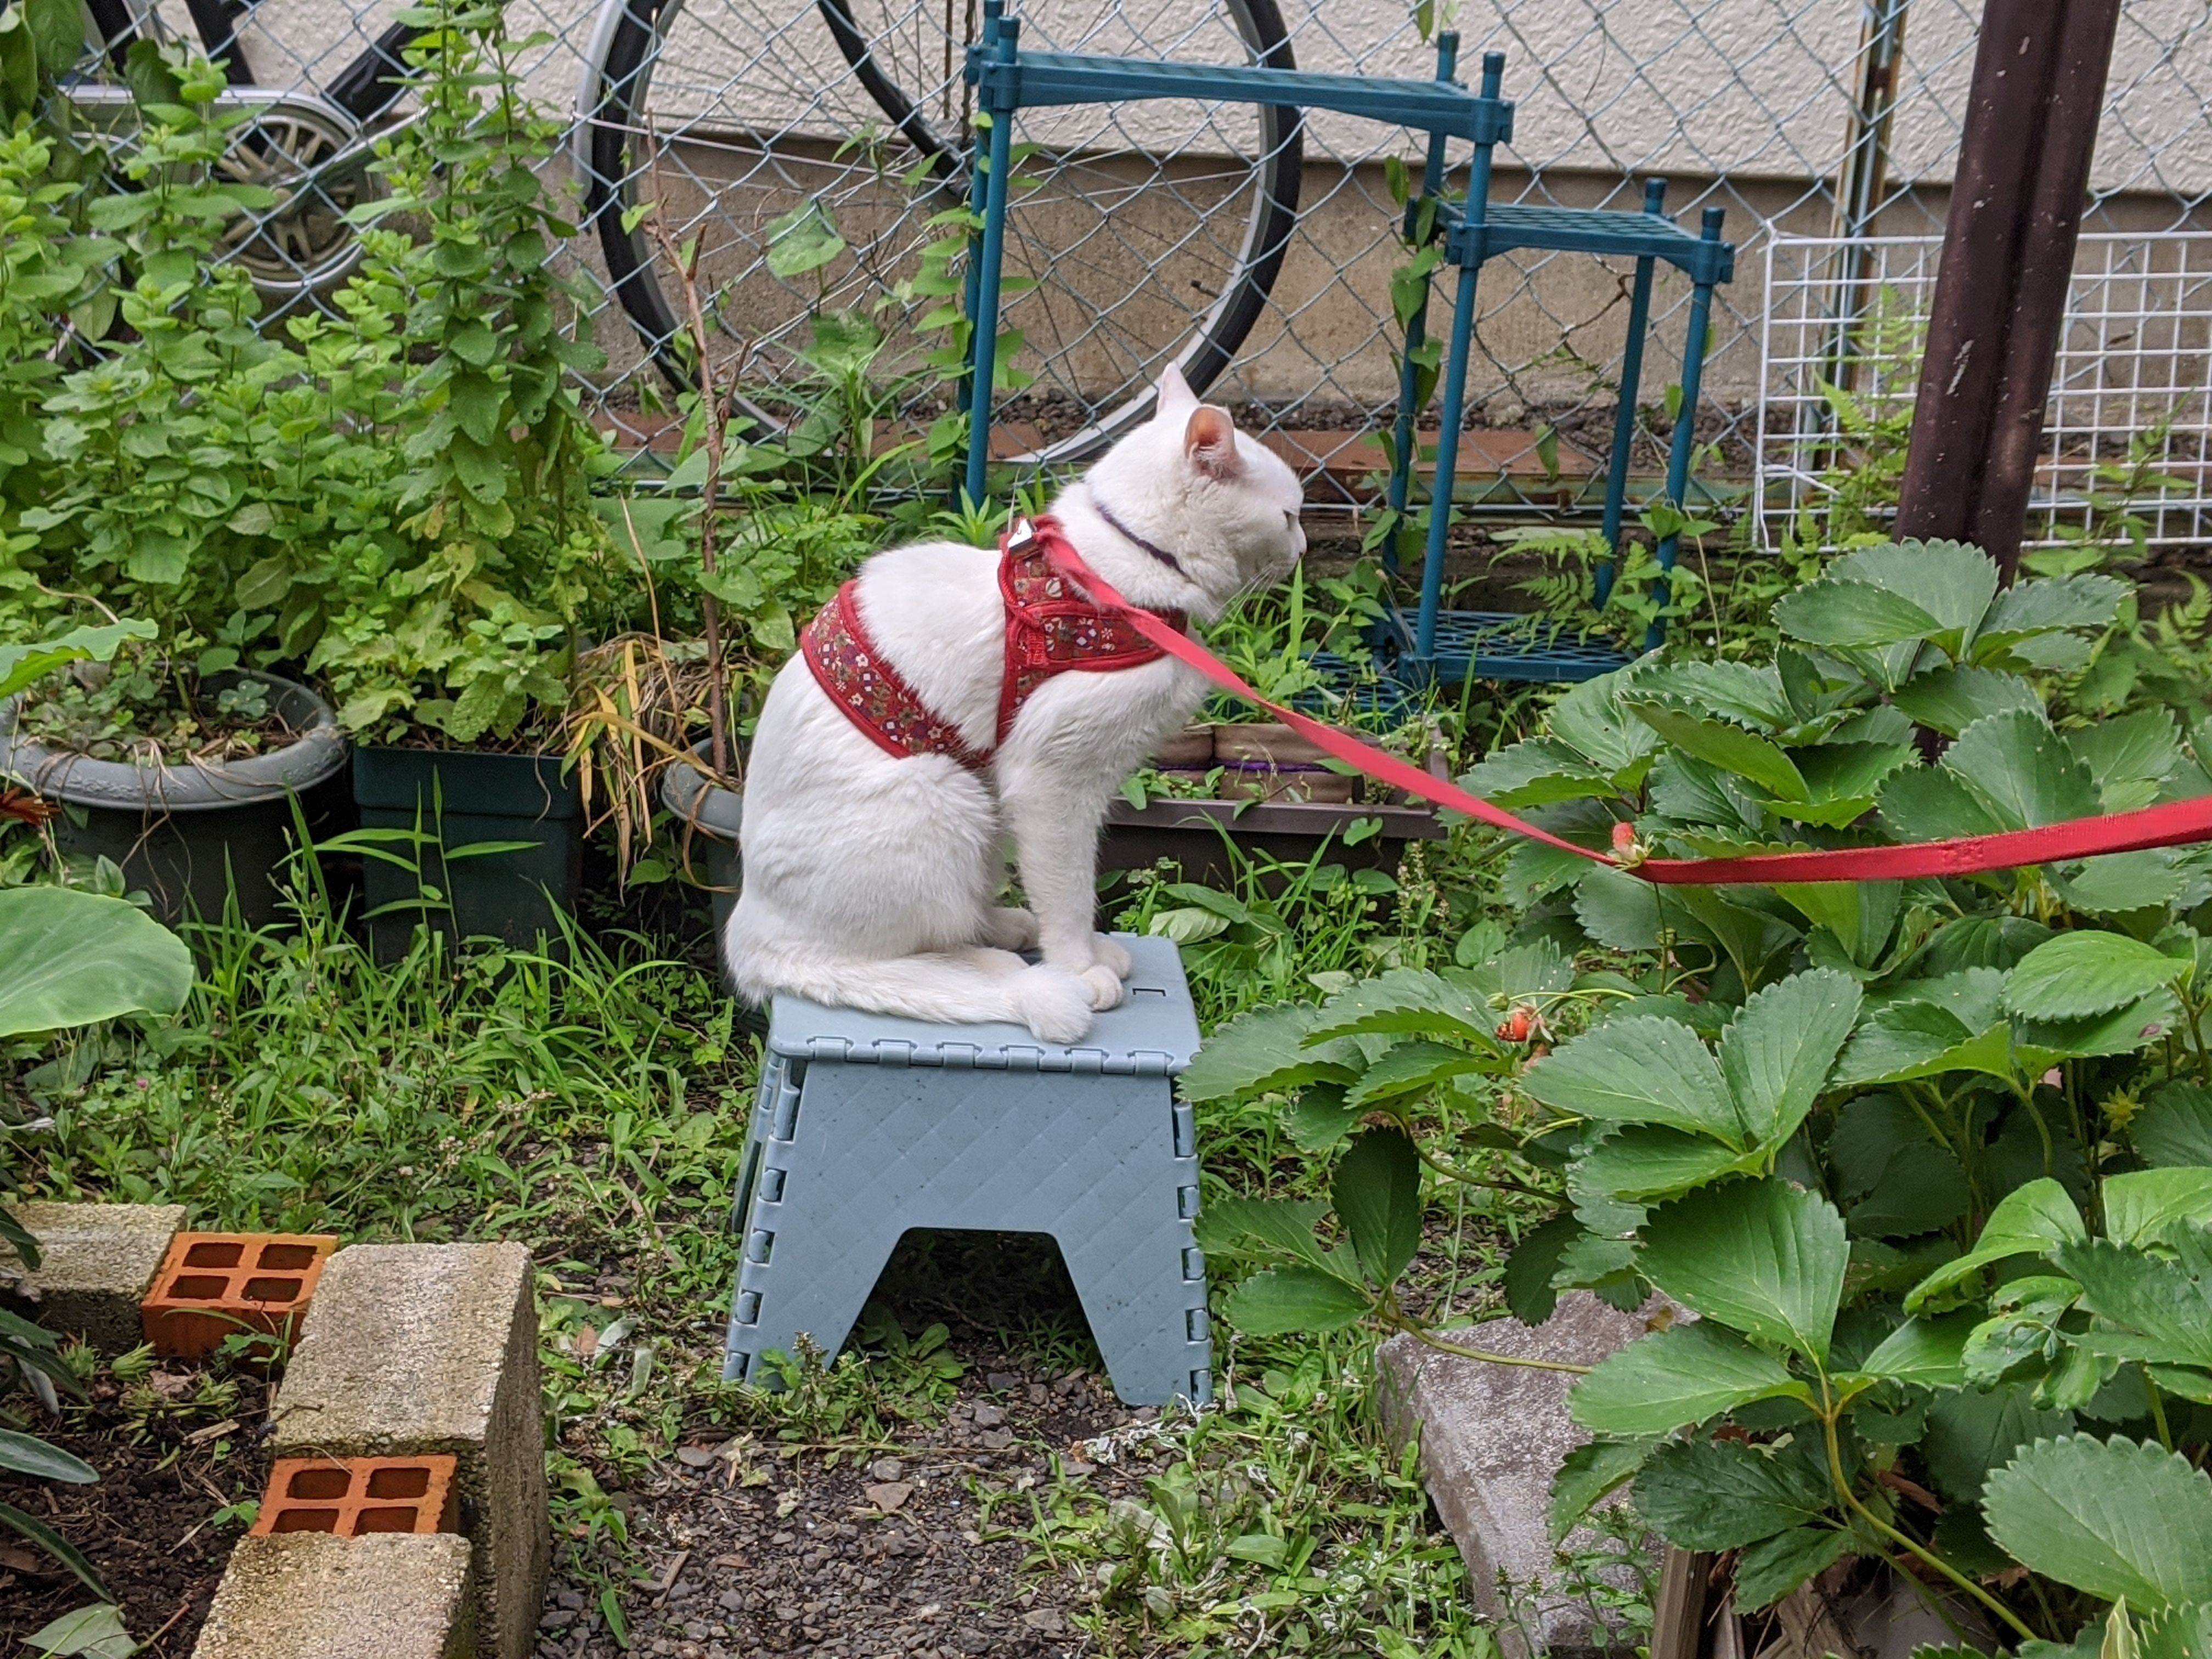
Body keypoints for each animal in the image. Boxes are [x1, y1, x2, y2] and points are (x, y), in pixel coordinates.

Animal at [725, 367, 1309, 1040]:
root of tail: (749, 937)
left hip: (982, 802)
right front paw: (1080, 966)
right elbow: (1069, 888)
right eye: (1289, 515)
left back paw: (1003, 930)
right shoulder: (1052, 784)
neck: (1116, 572)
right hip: (945, 797)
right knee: (885, 959)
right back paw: (998, 969)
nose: (1304, 548)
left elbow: (1072, 887)